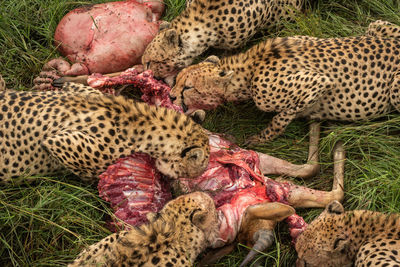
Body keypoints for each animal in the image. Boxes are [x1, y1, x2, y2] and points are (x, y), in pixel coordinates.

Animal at [170, 20, 400, 144]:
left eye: (189, 87)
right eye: (177, 79)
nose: (171, 96)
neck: (249, 70)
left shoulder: (318, 83)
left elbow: (280, 117)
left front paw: (262, 137)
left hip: (395, 88)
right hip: (375, 26)